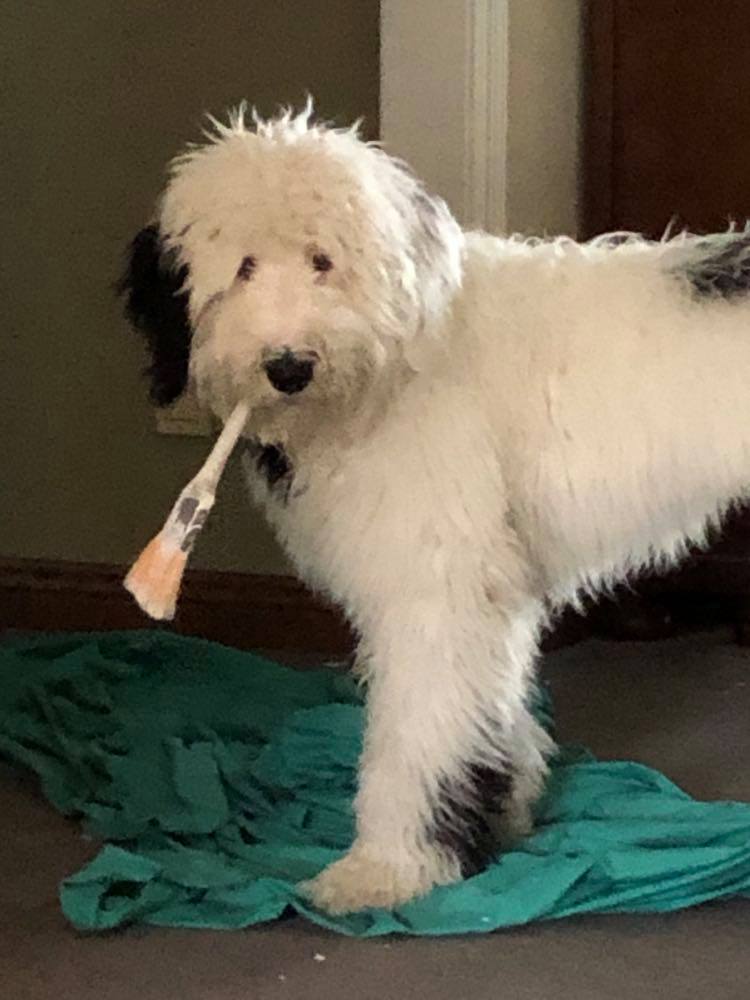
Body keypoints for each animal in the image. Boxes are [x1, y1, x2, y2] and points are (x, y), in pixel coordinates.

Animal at [119, 103, 750, 916]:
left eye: (324, 260)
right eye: (243, 267)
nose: (289, 366)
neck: (394, 360)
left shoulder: (438, 584)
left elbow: (421, 731)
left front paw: (392, 866)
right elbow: (486, 713)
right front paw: (498, 808)